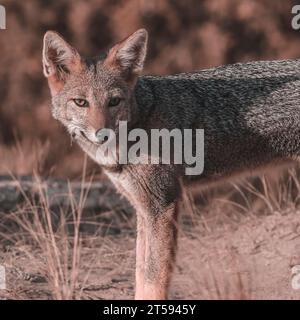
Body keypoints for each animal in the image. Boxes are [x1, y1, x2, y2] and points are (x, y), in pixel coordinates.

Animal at [41, 28, 300, 300]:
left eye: (114, 102)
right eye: (81, 102)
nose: (103, 134)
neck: (140, 121)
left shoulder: (163, 205)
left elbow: (154, 278)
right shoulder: (143, 208)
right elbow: (140, 273)